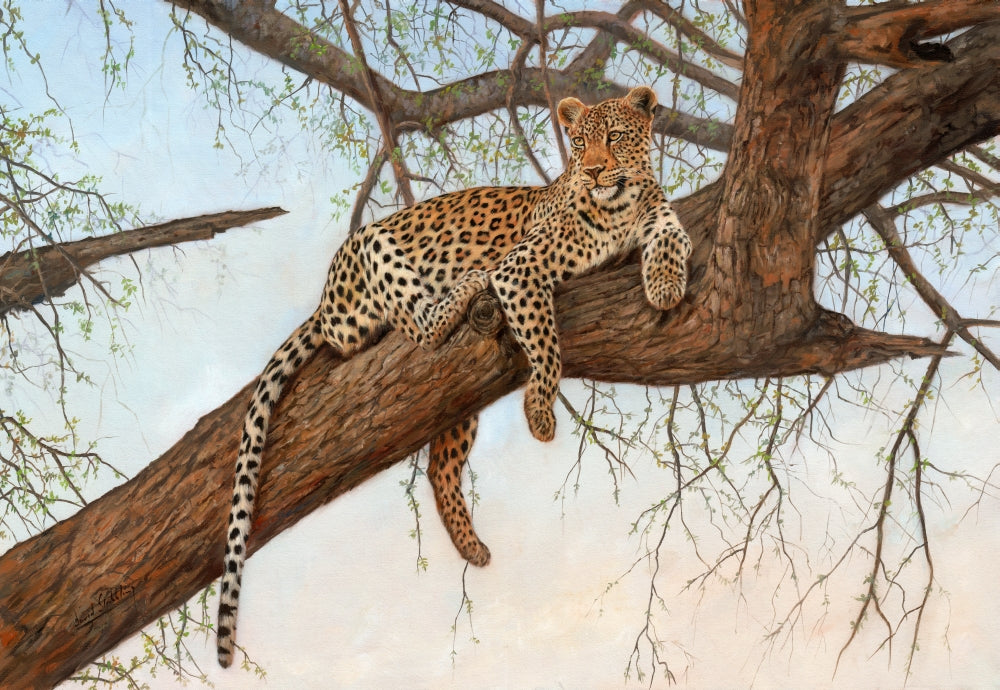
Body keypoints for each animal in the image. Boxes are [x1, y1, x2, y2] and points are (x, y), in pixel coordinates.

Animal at [216, 85, 691, 668]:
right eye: (580, 143)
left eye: (616, 137)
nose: (596, 170)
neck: (620, 207)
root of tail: (324, 299)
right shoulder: (519, 269)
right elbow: (545, 341)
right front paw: (540, 411)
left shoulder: (659, 220)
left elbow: (672, 238)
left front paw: (666, 286)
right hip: (373, 250)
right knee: (417, 326)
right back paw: (465, 285)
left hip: (454, 398)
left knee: (440, 465)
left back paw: (471, 547)